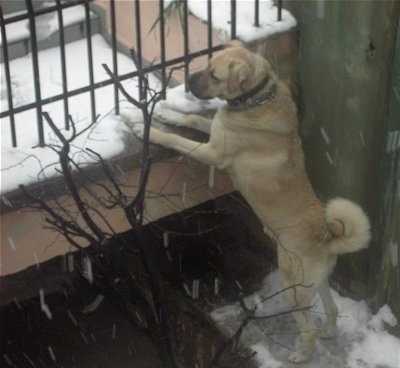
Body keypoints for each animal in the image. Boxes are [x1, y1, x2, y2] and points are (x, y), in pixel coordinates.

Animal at [133, 41, 370, 362]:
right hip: (315, 281)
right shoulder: (215, 133)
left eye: (215, 75)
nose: (189, 81)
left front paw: (150, 132)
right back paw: (330, 332)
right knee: (331, 308)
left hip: (293, 287)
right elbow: (194, 118)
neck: (255, 99)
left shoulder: (212, 153)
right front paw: (169, 114)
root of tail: (327, 235)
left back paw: (302, 355)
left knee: (308, 327)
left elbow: (179, 141)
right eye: (207, 64)